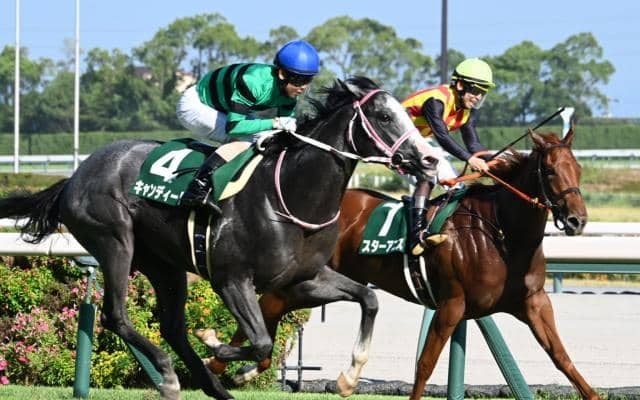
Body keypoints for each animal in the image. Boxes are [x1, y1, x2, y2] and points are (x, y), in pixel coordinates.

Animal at [0, 77, 438, 400]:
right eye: (385, 116)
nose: (430, 159)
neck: (292, 194)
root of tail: (75, 175)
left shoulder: (305, 278)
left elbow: (369, 299)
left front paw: (349, 378)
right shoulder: (232, 279)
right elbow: (260, 342)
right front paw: (219, 347)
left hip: (164, 263)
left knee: (173, 326)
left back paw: (211, 388)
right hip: (114, 242)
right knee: (117, 315)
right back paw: (169, 375)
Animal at [205, 127, 599, 400]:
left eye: (579, 169)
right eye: (550, 171)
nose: (577, 220)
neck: (499, 232)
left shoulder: (533, 302)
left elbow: (562, 357)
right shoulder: (452, 304)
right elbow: (424, 365)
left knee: (271, 306)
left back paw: (235, 366)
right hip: (310, 281)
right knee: (269, 304)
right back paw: (222, 362)